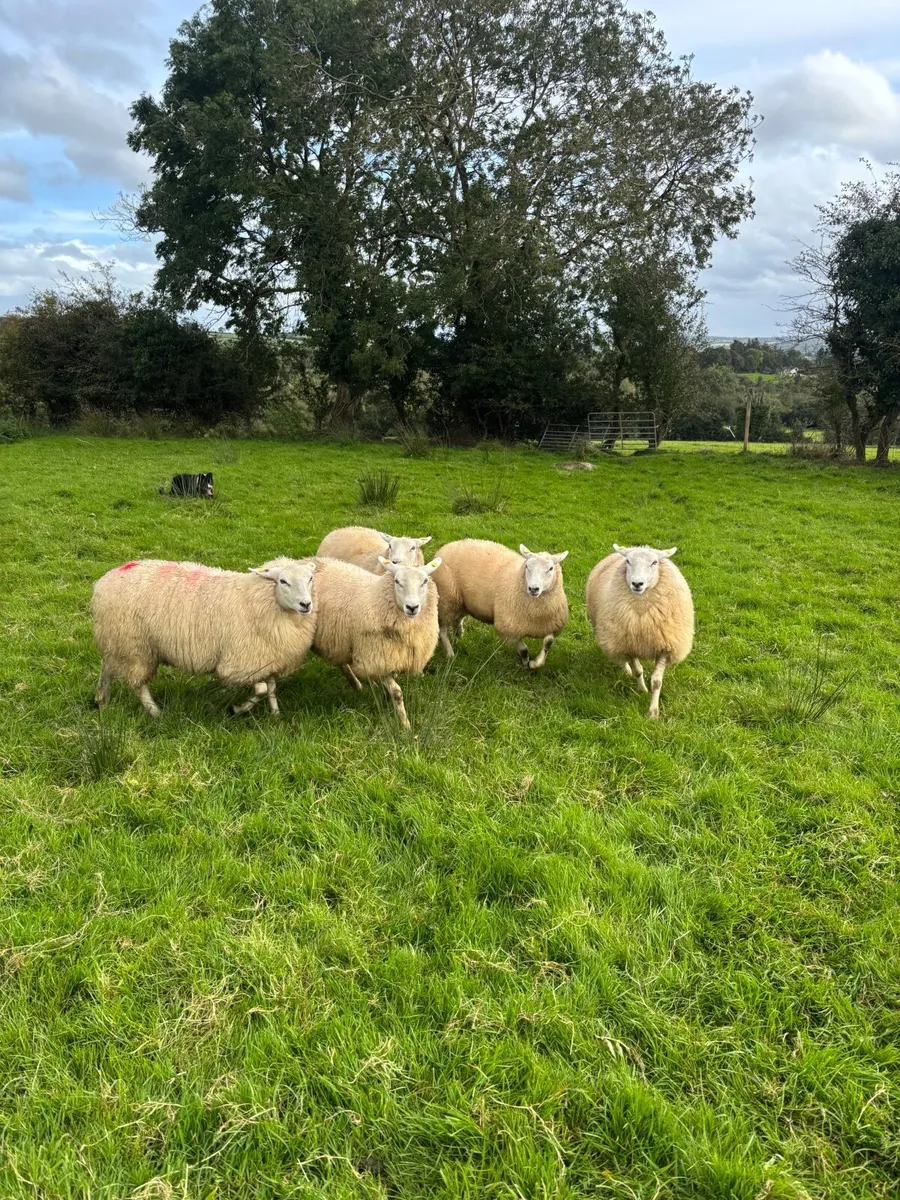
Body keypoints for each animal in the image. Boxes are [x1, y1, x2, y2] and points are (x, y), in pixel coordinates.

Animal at [92, 557, 317, 717]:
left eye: (310, 579)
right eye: (283, 581)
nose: (306, 604)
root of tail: (105, 580)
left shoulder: (267, 656)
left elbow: (270, 686)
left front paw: (275, 713)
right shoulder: (241, 663)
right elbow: (261, 689)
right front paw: (237, 709)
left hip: (116, 641)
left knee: (107, 668)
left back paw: (102, 700)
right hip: (135, 646)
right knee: (138, 684)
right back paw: (155, 712)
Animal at [311, 554, 442, 728]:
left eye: (425, 581)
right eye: (397, 581)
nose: (412, 607)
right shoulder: (378, 657)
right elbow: (397, 693)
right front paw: (405, 724)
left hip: (336, 637)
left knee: (341, 661)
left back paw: (357, 685)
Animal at [430, 539, 569, 668]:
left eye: (550, 568)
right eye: (527, 567)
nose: (533, 589)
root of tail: (448, 545)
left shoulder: (552, 627)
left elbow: (548, 643)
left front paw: (535, 664)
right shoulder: (509, 629)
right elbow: (524, 649)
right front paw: (525, 662)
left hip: (461, 602)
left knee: (457, 620)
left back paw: (458, 638)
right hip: (446, 600)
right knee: (442, 630)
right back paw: (450, 653)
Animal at [584, 543, 694, 719]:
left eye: (654, 562)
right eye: (628, 561)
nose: (637, 583)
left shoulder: (665, 645)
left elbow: (657, 681)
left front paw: (653, 712)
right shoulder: (629, 644)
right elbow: (638, 670)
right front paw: (642, 690)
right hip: (613, 634)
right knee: (621, 658)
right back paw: (626, 670)